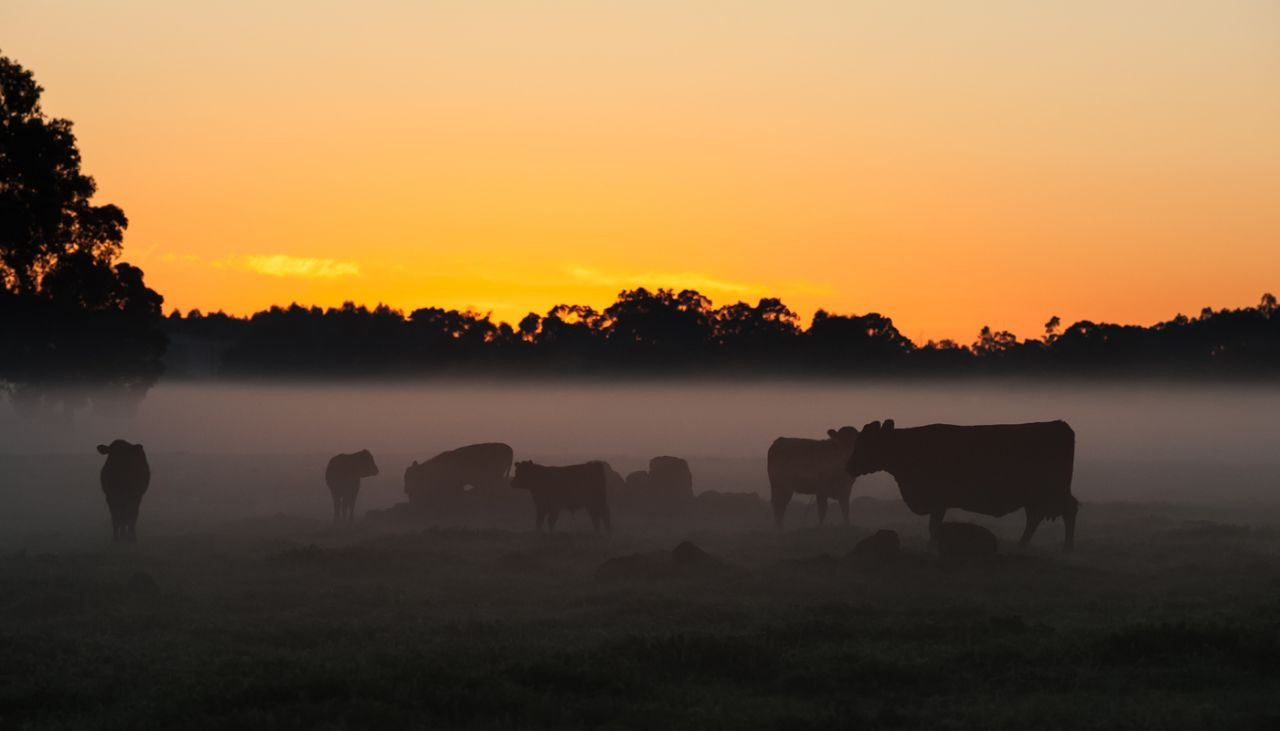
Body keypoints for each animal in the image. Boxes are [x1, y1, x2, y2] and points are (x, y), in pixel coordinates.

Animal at [849, 419, 1080, 553]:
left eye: (866, 442)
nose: (849, 465)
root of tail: (1059, 424)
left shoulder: (939, 501)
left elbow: (934, 527)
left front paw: (931, 548)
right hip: (1035, 496)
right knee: (1035, 517)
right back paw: (1021, 546)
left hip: (1053, 490)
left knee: (1068, 510)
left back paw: (1067, 548)